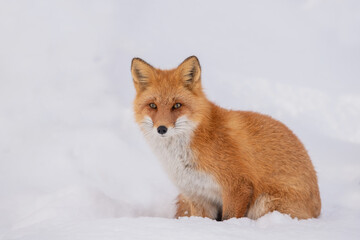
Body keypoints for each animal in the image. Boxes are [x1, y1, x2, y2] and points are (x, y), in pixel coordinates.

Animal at [131, 55, 322, 219]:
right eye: (153, 106)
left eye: (177, 105)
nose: (161, 129)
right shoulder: (198, 194)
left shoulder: (237, 186)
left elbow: (230, 218)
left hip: (265, 202)